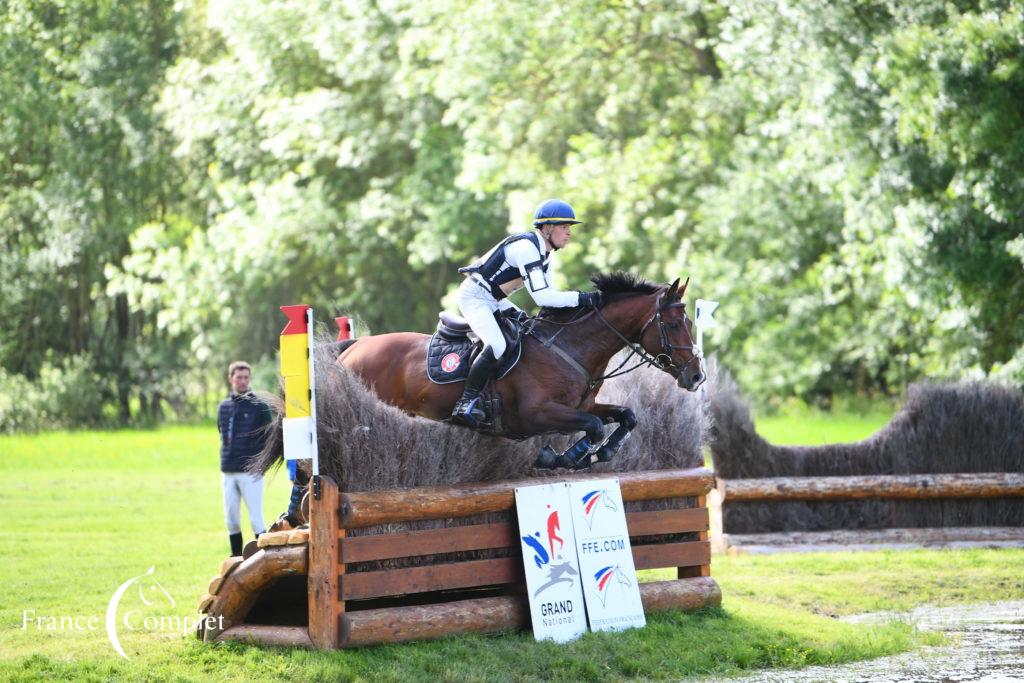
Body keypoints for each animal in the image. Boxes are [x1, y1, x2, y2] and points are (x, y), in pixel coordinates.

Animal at [335, 272, 704, 471]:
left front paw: (602, 453)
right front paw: (563, 458)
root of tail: (353, 348)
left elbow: (625, 416)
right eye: (674, 324)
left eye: (689, 323)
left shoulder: (581, 407)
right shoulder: (536, 415)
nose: (697, 377)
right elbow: (595, 426)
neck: (569, 347)